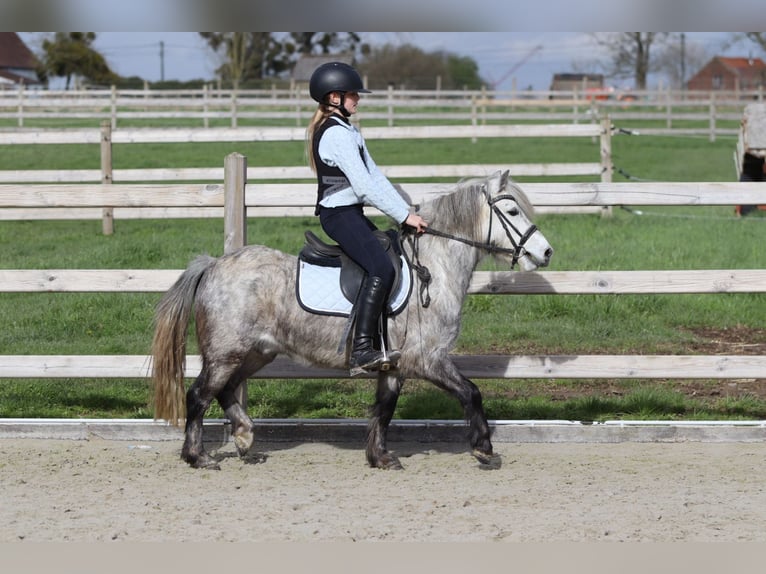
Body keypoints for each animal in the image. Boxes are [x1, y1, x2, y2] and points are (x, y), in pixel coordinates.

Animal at [151, 170, 553, 470]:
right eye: (512, 212)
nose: (545, 252)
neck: (432, 268)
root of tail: (214, 264)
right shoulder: (428, 358)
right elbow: (471, 392)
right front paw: (484, 447)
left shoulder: (394, 364)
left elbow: (384, 409)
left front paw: (380, 457)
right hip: (227, 353)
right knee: (199, 395)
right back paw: (198, 456)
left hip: (255, 353)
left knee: (226, 390)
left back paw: (245, 435)